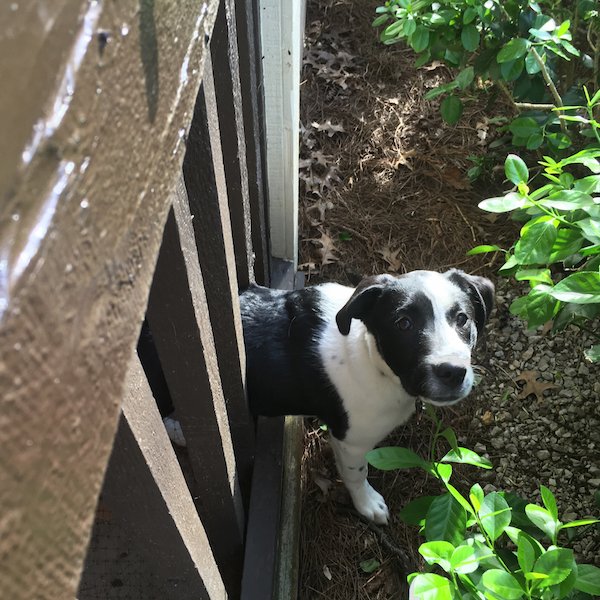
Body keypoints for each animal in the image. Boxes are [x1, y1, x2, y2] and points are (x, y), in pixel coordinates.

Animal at [240, 269, 494, 524]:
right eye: (403, 323)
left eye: (462, 319)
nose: (452, 372)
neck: (369, 354)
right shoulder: (352, 441)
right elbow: (357, 474)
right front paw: (368, 504)